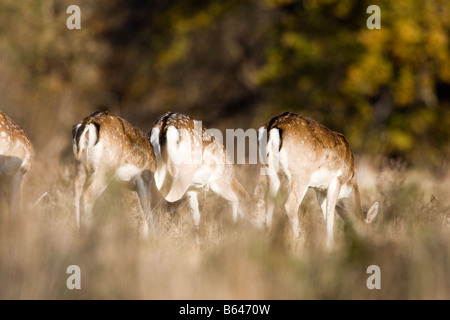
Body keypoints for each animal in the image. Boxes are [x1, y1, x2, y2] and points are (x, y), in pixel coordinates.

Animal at [258, 111, 378, 249]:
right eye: (368, 232)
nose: (364, 246)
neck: (349, 181)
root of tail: (273, 126)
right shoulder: (336, 181)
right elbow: (330, 215)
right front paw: (330, 247)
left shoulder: (319, 189)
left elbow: (325, 215)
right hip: (301, 174)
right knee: (290, 205)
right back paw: (300, 243)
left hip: (269, 170)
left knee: (269, 201)